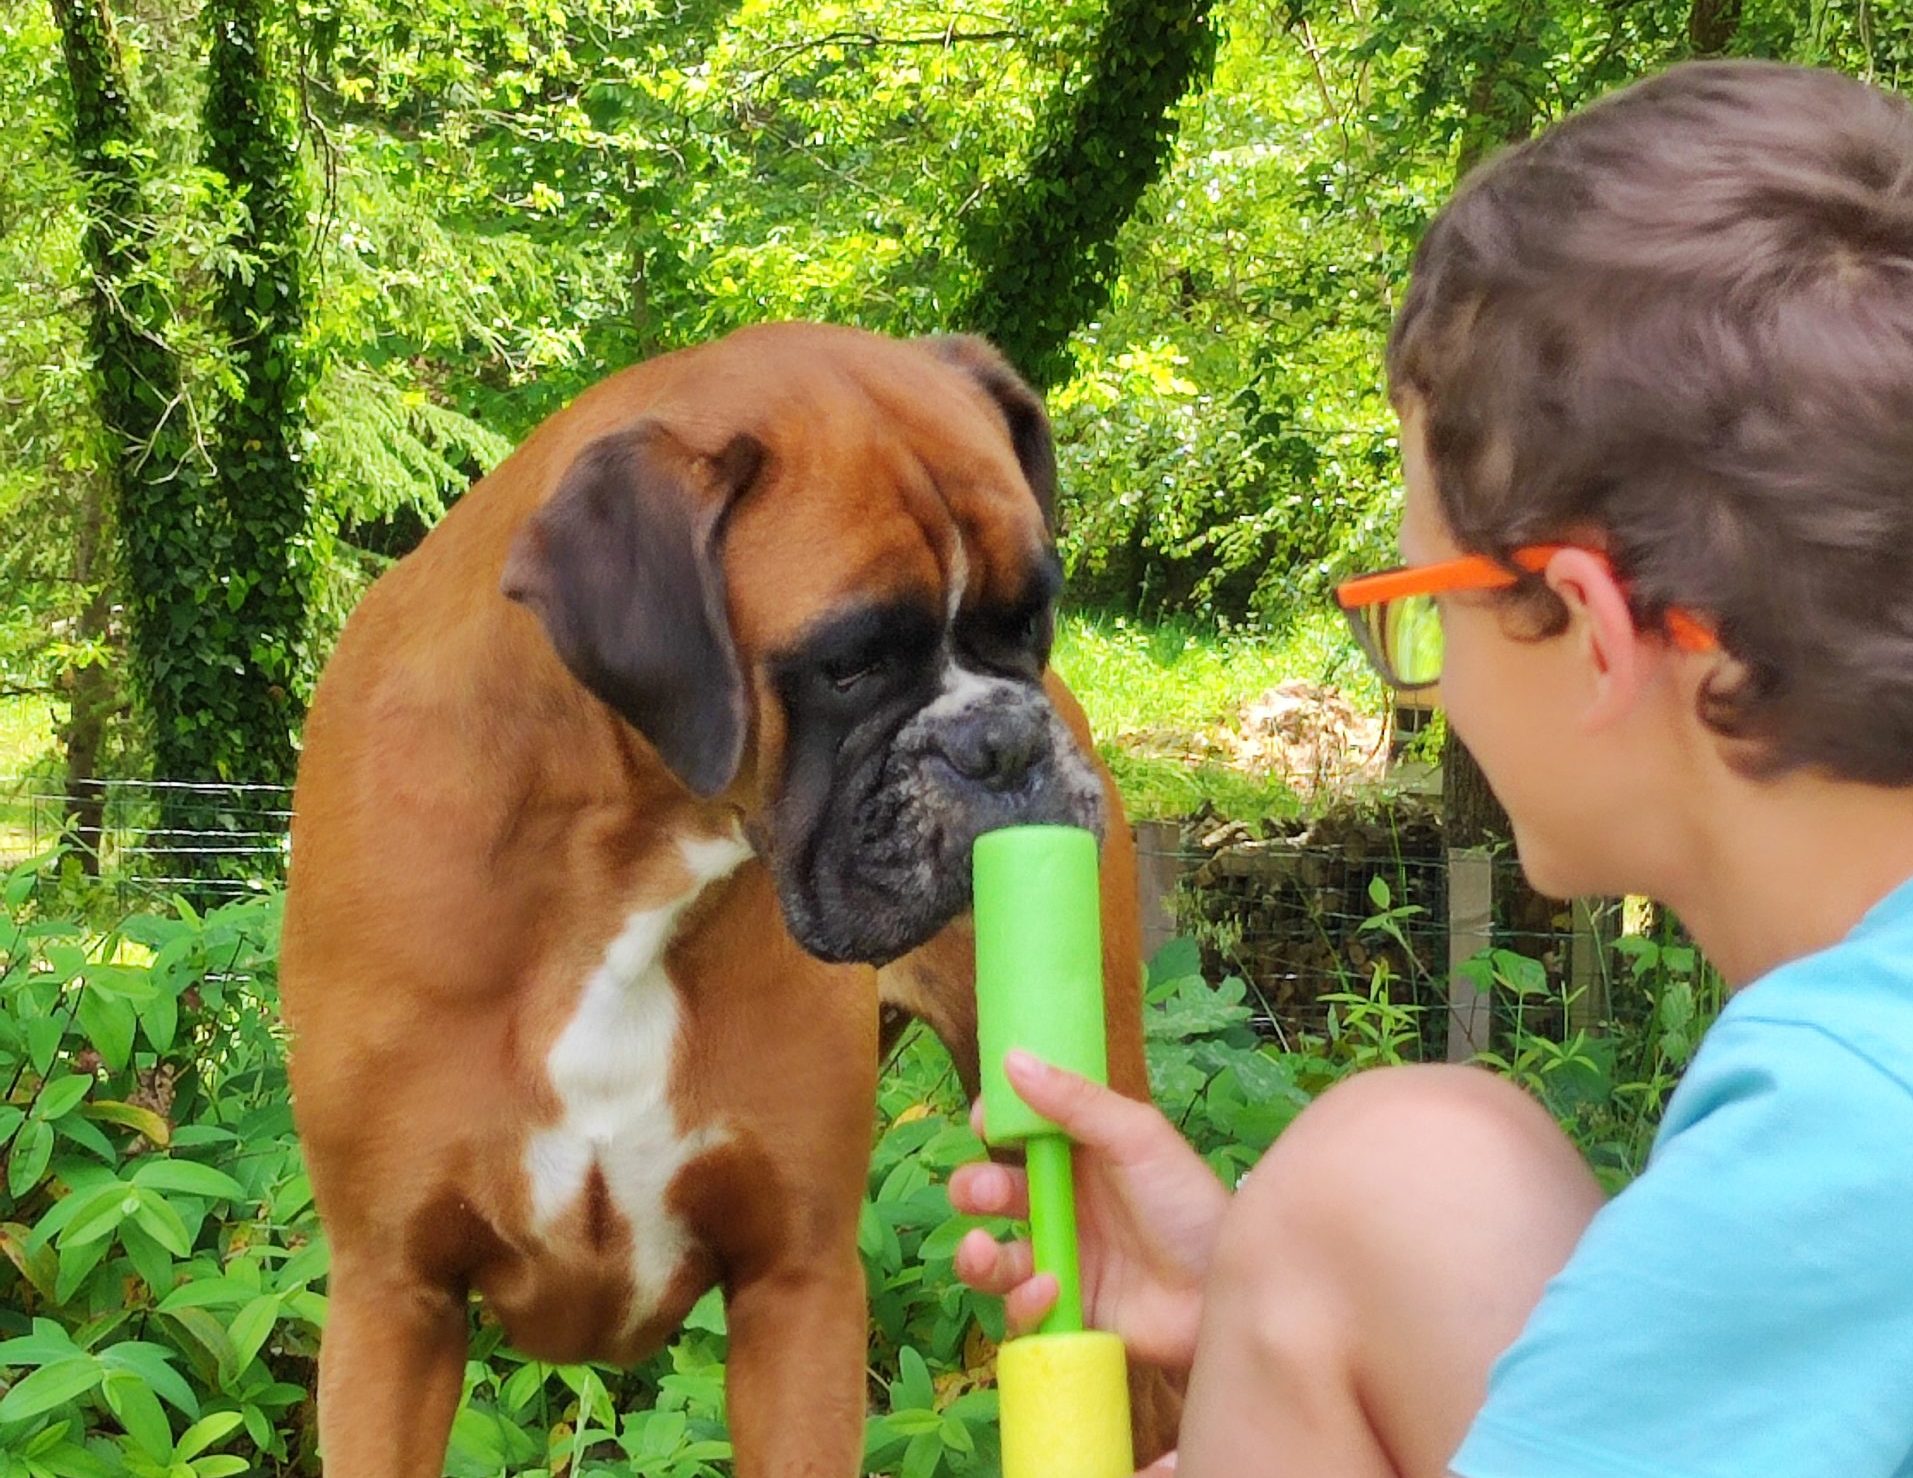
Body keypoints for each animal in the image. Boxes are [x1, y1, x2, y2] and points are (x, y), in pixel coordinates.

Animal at [281, 325, 1170, 1476]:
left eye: (1032, 619)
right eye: (849, 663)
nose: (1003, 740)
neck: (618, 865)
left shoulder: (797, 1288)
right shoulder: (394, 1303)